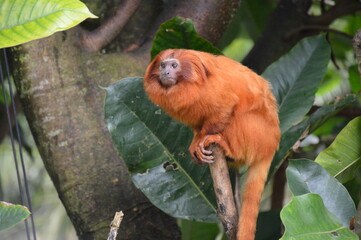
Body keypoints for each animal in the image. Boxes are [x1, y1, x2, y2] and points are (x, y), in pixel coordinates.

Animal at [142, 48, 280, 240]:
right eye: (162, 65)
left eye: (174, 66)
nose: (166, 73)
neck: (188, 85)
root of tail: (272, 145)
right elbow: (197, 125)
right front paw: (195, 142)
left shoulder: (214, 91)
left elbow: (226, 107)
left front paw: (203, 139)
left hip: (259, 134)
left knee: (239, 116)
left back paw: (227, 147)